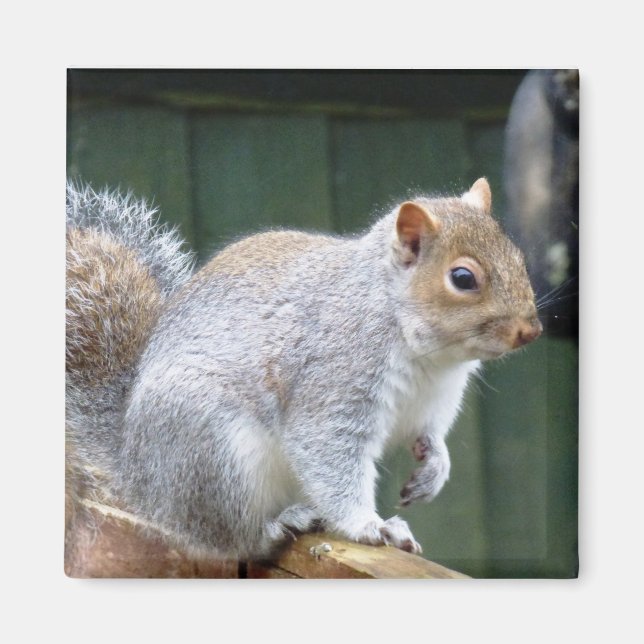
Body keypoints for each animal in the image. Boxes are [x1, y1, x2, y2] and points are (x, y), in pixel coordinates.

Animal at [65, 177, 541, 562]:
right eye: (462, 278)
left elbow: (430, 436)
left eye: (518, 256)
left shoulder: (432, 402)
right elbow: (329, 455)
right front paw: (368, 525)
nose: (530, 330)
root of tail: (135, 472)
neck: (430, 356)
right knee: (225, 537)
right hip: (211, 453)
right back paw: (273, 529)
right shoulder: (335, 382)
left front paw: (433, 470)